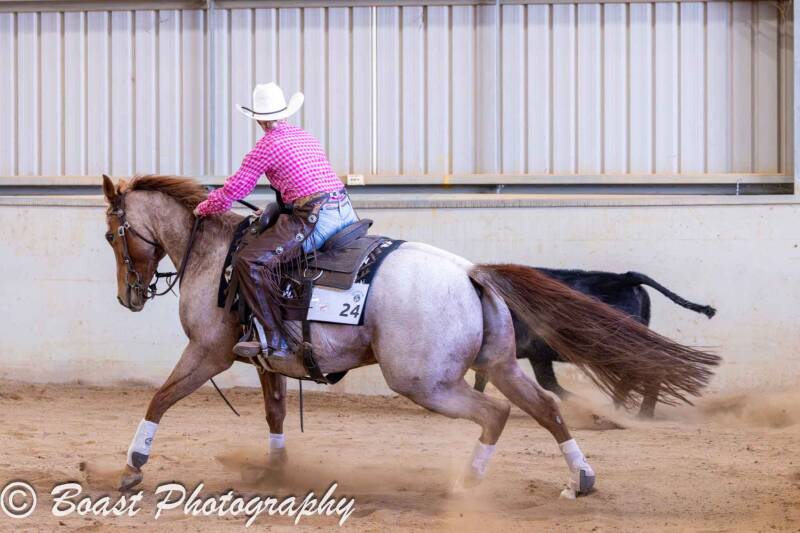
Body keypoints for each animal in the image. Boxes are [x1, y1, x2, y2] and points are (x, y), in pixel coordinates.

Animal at [474, 268, 717, 418]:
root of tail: (626, 278)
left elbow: (548, 383)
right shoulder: (535, 356)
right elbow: (546, 382)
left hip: (620, 349)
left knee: (646, 372)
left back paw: (634, 412)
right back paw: (629, 410)